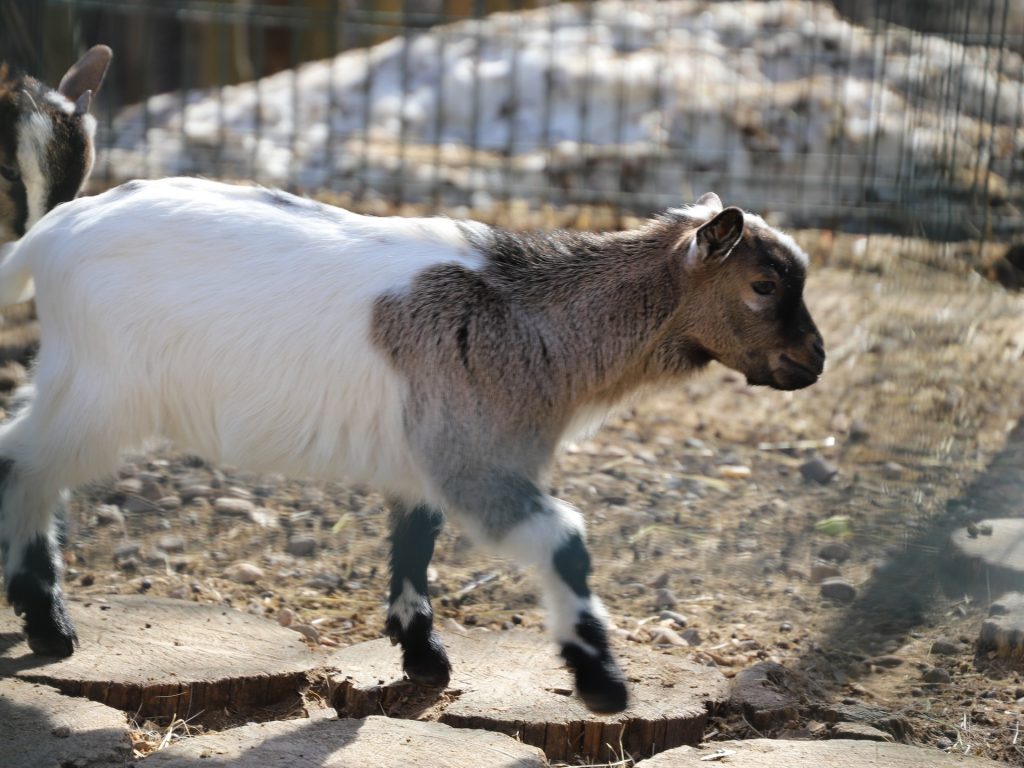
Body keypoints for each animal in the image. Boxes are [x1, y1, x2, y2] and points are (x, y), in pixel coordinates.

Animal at [0, 180, 824, 713]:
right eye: (762, 285)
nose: (812, 361)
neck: (527, 316)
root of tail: (49, 234)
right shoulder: (473, 457)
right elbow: (564, 539)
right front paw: (602, 685)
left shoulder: (424, 452)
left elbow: (414, 537)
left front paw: (422, 656)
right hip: (101, 390)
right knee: (24, 465)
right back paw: (47, 624)